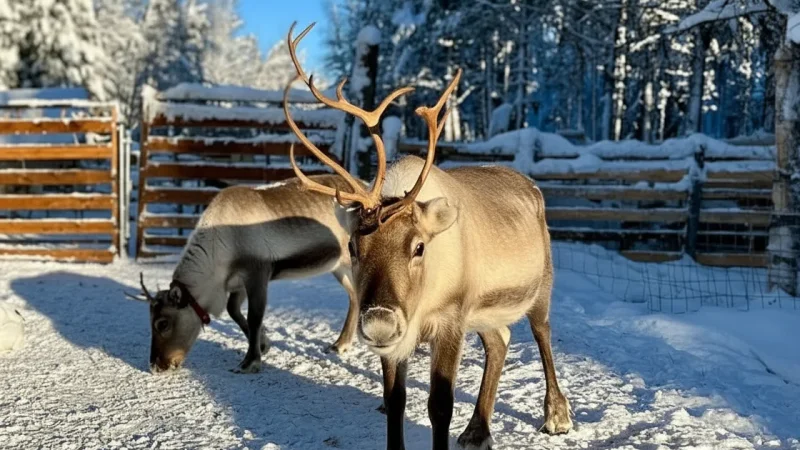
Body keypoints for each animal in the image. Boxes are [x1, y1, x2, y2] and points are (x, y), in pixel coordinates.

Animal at [128, 174, 368, 373]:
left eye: (162, 323)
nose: (156, 366)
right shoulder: (237, 282)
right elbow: (233, 310)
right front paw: (264, 344)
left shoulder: (257, 272)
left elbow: (254, 316)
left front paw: (250, 361)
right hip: (338, 267)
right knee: (354, 297)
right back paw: (341, 344)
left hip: (349, 262)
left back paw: (343, 343)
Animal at [282, 22, 573, 450]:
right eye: (352, 246)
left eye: (419, 246)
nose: (379, 324)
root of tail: (532, 187)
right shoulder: (402, 336)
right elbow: (395, 400)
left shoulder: (451, 318)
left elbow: (440, 406)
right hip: (484, 310)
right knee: (500, 339)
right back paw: (477, 430)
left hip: (542, 287)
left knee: (542, 333)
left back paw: (556, 415)